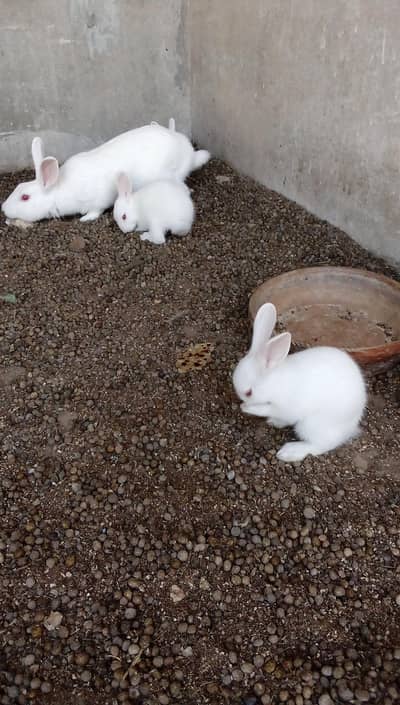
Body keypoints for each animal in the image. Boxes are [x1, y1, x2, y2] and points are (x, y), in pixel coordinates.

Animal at [1, 121, 210, 223]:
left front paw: (85, 218)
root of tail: (189, 152)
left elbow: (96, 210)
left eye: (25, 197)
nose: (3, 209)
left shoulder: (97, 199)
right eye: (17, 188)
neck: (59, 189)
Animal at [232, 302, 367, 463]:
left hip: (312, 425)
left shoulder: (283, 408)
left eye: (249, 392)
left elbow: (265, 409)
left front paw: (246, 407)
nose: (241, 401)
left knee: (319, 445)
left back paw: (289, 452)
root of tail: (352, 425)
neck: (273, 383)